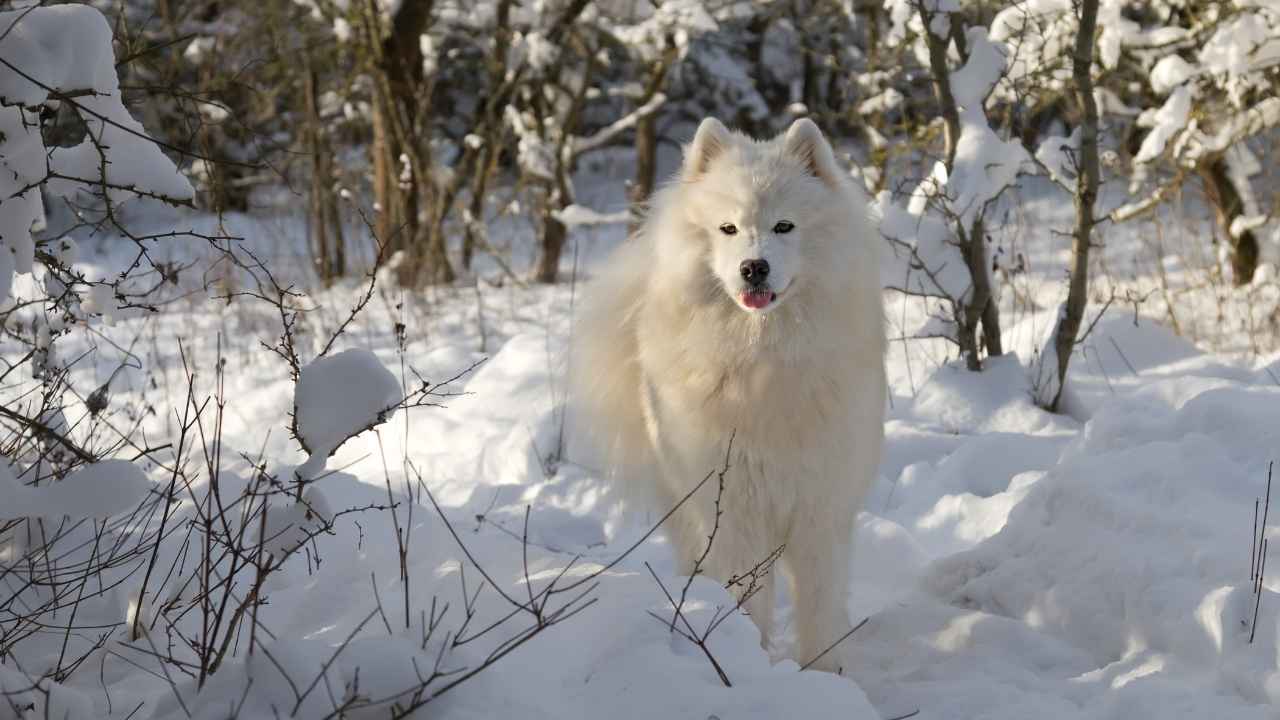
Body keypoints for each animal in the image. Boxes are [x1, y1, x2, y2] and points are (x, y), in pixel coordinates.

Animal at [576, 116, 885, 666]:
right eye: (728, 229)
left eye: (784, 226)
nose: (753, 267)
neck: (762, 359)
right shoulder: (734, 513)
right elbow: (746, 600)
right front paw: (751, 661)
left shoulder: (820, 509)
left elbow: (821, 609)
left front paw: (827, 673)